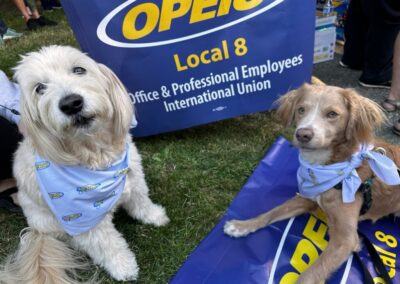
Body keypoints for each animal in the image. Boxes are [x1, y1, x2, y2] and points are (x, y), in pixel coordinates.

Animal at [0, 45, 169, 282]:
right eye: (39, 88)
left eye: (79, 70)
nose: (71, 103)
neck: (98, 156)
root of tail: (38, 233)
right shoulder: (85, 222)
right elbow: (108, 246)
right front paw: (124, 268)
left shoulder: (134, 178)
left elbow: (141, 202)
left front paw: (155, 216)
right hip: (53, 223)